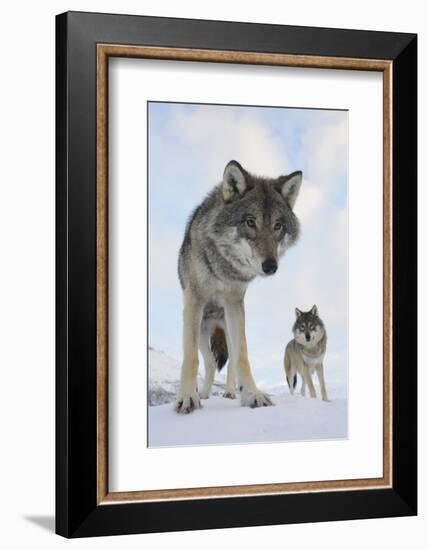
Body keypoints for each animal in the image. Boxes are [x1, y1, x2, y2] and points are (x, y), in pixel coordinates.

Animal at [173, 160, 300, 414]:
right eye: (250, 222)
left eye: (278, 226)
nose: (270, 266)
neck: (223, 265)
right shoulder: (195, 299)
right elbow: (190, 357)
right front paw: (188, 397)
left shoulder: (234, 302)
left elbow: (242, 357)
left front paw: (252, 394)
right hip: (202, 329)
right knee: (210, 362)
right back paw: (204, 393)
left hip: (227, 328)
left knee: (230, 360)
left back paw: (231, 392)